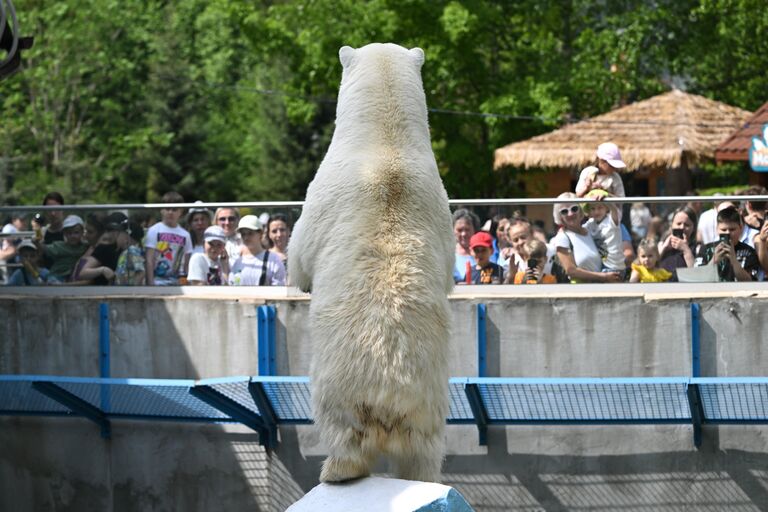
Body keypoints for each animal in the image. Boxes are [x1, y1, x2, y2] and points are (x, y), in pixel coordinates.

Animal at [288, 44, 456, 484]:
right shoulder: (442, 210)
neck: (385, 144)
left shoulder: (321, 191)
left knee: (341, 430)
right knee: (424, 454)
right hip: (428, 407)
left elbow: (300, 250)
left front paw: (298, 278)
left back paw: (334, 471)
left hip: (341, 384)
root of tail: (390, 393)